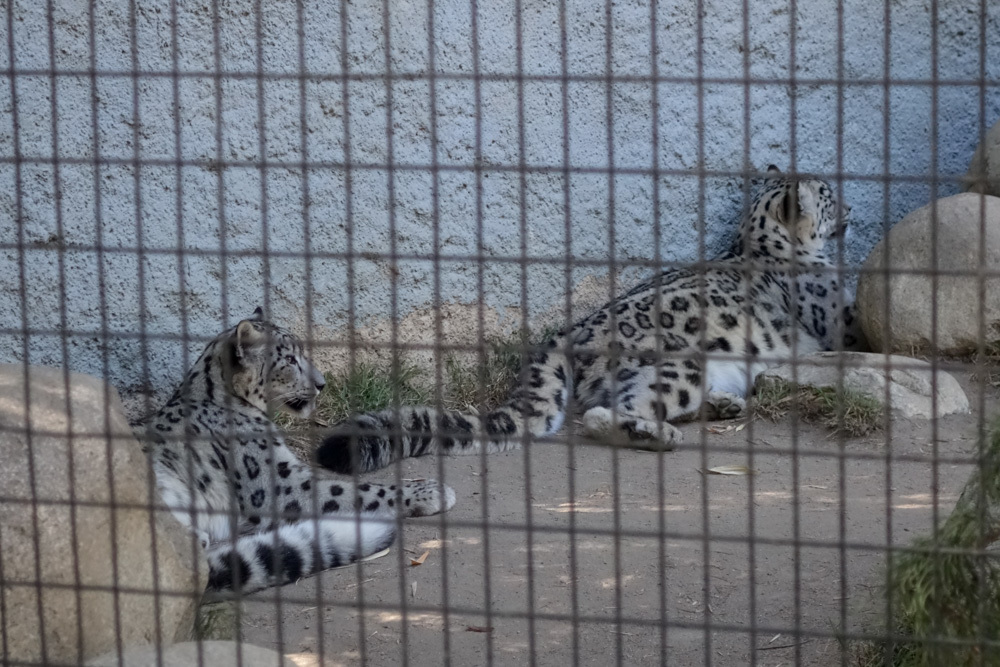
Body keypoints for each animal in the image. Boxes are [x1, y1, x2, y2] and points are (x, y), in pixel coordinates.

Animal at [316, 167, 864, 474]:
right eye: (828, 195)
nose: (854, 208)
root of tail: (565, 332)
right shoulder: (834, 316)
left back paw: (723, 405)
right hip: (680, 364)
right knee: (608, 411)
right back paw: (654, 434)